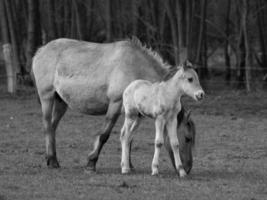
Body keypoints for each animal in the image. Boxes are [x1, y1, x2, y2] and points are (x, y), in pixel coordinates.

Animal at [32, 37, 197, 173]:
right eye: (187, 138)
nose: (188, 168)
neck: (135, 66)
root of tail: (40, 51)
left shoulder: (134, 113)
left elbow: (129, 138)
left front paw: (128, 165)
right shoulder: (115, 105)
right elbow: (105, 135)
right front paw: (91, 163)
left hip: (61, 102)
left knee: (53, 127)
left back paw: (51, 159)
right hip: (47, 97)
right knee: (47, 126)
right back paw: (53, 161)